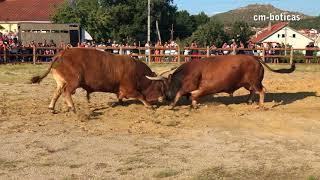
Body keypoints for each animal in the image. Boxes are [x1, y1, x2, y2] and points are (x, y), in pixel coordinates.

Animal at [30, 48, 166, 112]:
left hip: (61, 81)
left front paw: (120, 102)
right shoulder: (129, 89)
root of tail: (62, 53)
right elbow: (141, 95)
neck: (138, 73)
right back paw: (72, 107)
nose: (163, 98)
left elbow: (120, 97)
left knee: (57, 92)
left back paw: (51, 107)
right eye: (160, 86)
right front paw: (149, 106)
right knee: (66, 92)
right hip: (74, 81)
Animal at [148, 54, 296, 108]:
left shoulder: (195, 87)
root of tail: (255, 57)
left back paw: (260, 105)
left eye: (165, 85)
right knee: (254, 91)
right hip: (248, 83)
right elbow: (192, 96)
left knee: (262, 90)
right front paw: (194, 104)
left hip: (254, 81)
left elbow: (186, 94)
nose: (166, 98)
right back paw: (249, 101)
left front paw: (172, 104)